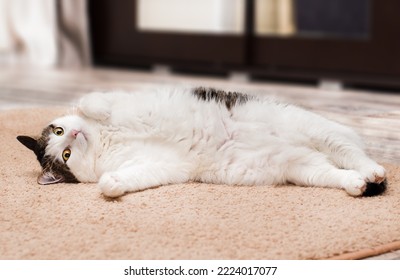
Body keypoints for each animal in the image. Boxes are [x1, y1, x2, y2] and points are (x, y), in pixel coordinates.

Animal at [16, 86, 388, 198]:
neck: (104, 140)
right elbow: (114, 180)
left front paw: (90, 111)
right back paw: (358, 183)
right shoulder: (160, 166)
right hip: (304, 169)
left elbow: (90, 100)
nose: (75, 134)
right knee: (339, 172)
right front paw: (111, 185)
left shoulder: (118, 100)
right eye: (65, 154)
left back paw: (375, 171)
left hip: (317, 131)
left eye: (60, 134)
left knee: (354, 153)